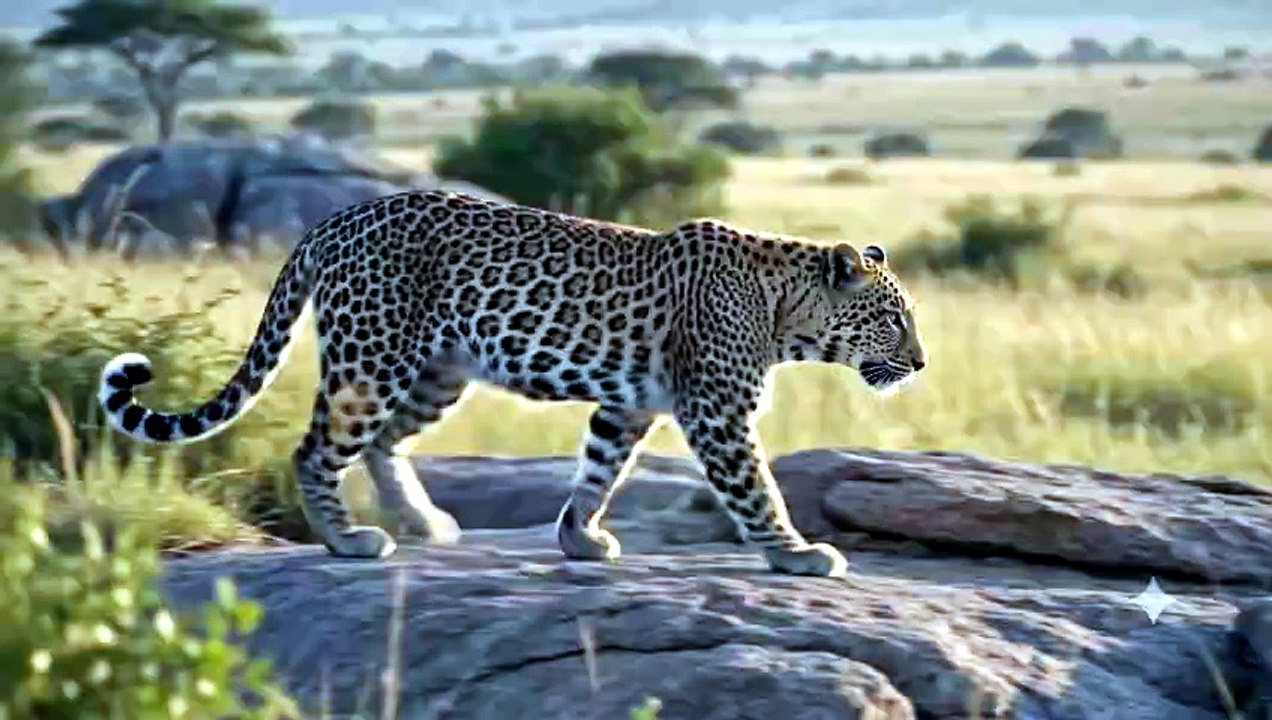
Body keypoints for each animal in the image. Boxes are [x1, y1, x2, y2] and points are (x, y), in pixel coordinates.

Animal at [97, 190, 927, 577]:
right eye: (892, 320)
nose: (919, 364)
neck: (785, 310)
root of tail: (335, 220)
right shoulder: (717, 412)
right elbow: (757, 489)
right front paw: (797, 554)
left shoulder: (629, 406)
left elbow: (598, 470)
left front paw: (579, 537)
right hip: (373, 356)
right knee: (316, 449)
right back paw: (348, 540)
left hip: (435, 371)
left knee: (382, 444)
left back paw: (427, 523)